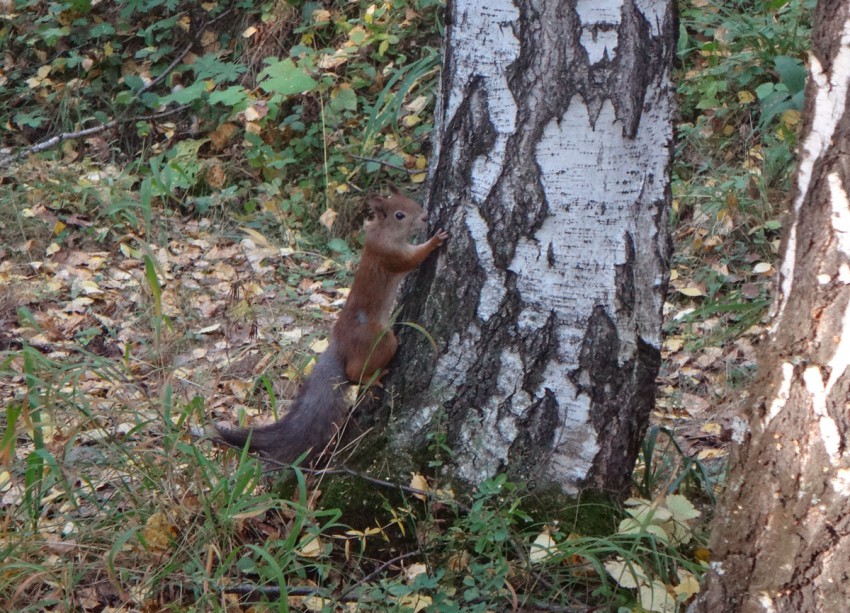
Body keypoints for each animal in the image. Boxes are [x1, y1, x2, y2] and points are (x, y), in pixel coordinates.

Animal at [214, 185, 449, 465]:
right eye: (399, 215)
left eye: (412, 202)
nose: (424, 217)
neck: (382, 231)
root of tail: (339, 344)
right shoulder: (390, 256)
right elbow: (413, 259)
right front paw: (435, 240)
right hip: (380, 340)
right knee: (354, 371)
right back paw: (374, 376)